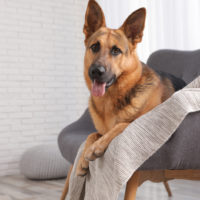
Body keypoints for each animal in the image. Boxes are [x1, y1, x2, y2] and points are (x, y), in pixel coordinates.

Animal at [60, 0, 185, 198]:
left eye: (116, 51)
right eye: (94, 47)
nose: (96, 71)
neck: (110, 100)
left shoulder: (144, 122)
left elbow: (122, 125)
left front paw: (96, 147)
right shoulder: (99, 130)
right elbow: (91, 134)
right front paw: (82, 160)